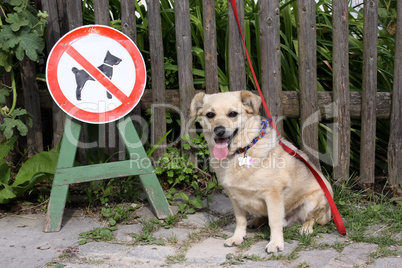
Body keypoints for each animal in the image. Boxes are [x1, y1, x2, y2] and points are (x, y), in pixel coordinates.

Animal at [190, 90, 332, 253]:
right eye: (210, 114)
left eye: (232, 114)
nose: (219, 131)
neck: (241, 151)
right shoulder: (234, 196)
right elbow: (240, 220)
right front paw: (237, 237)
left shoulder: (273, 195)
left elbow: (274, 222)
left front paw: (276, 243)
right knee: (264, 216)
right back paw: (256, 220)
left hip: (314, 201)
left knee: (311, 218)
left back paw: (306, 228)